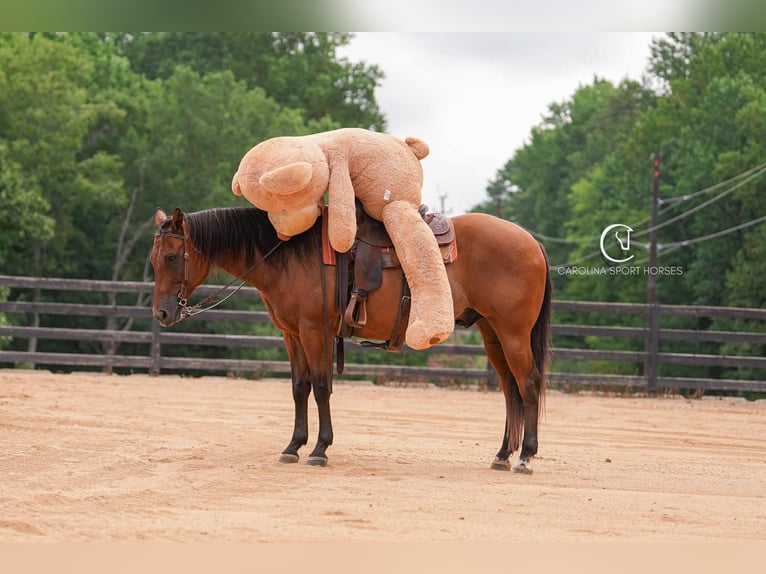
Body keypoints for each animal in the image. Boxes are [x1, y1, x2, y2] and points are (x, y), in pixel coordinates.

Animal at [150, 206, 552, 473]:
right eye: (153, 259)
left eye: (171, 257)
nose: (163, 314)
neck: (290, 255)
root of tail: (531, 241)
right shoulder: (292, 334)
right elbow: (299, 388)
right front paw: (293, 446)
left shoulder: (314, 331)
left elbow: (322, 387)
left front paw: (319, 449)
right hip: (492, 334)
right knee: (510, 390)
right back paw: (502, 455)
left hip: (513, 333)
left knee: (529, 385)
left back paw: (526, 457)